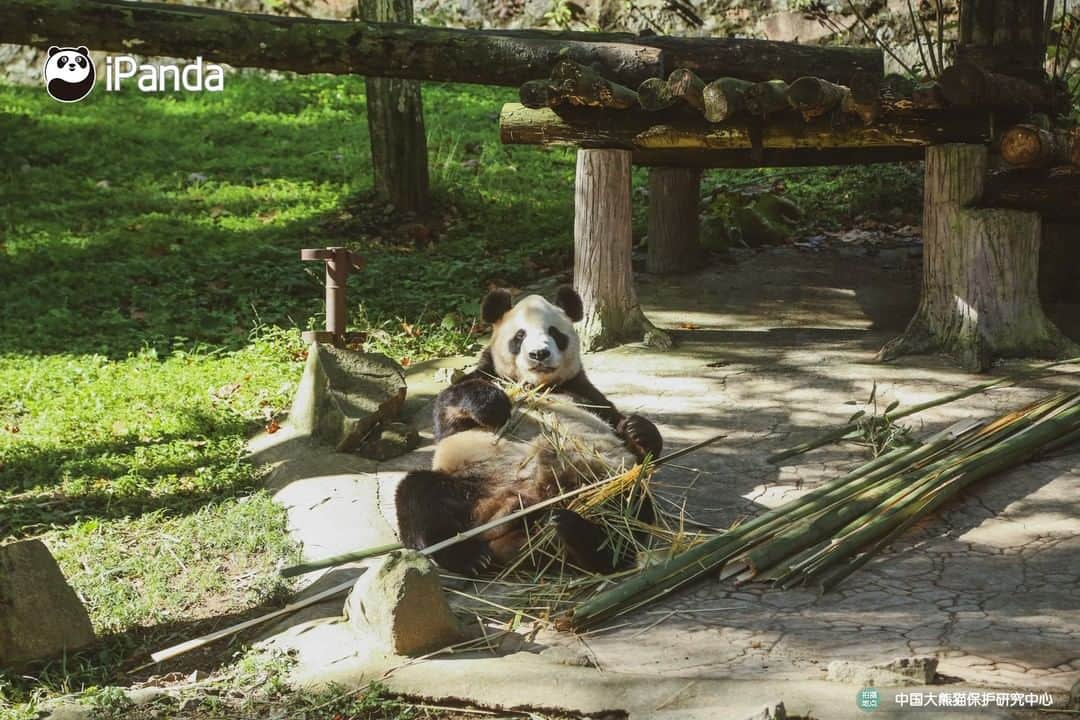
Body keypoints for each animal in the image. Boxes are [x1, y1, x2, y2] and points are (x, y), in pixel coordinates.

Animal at [393, 284, 660, 574]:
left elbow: (623, 429)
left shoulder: (585, 392)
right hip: (470, 485)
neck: (536, 385)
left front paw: (638, 429)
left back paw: (576, 533)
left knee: (630, 510)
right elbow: (449, 410)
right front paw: (493, 406)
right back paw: (470, 557)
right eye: (519, 336)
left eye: (554, 333)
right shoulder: (487, 376)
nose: (539, 354)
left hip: (604, 481)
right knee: (419, 495)